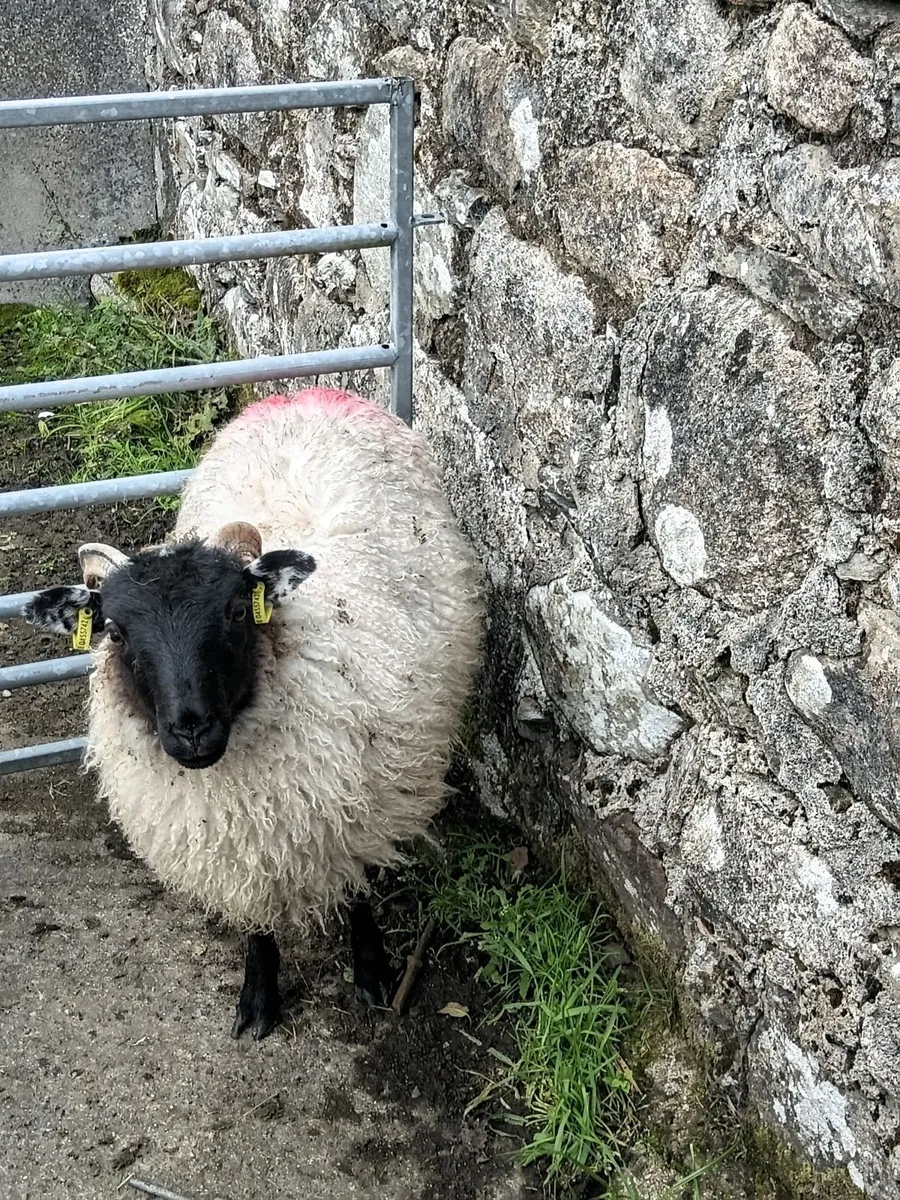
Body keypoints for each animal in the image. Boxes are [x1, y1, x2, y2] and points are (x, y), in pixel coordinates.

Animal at [24, 386, 483, 1038]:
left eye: (238, 612)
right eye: (113, 630)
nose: (191, 729)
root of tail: (308, 391)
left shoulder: (364, 803)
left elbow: (359, 889)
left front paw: (372, 973)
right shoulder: (240, 846)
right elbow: (258, 921)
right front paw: (259, 998)